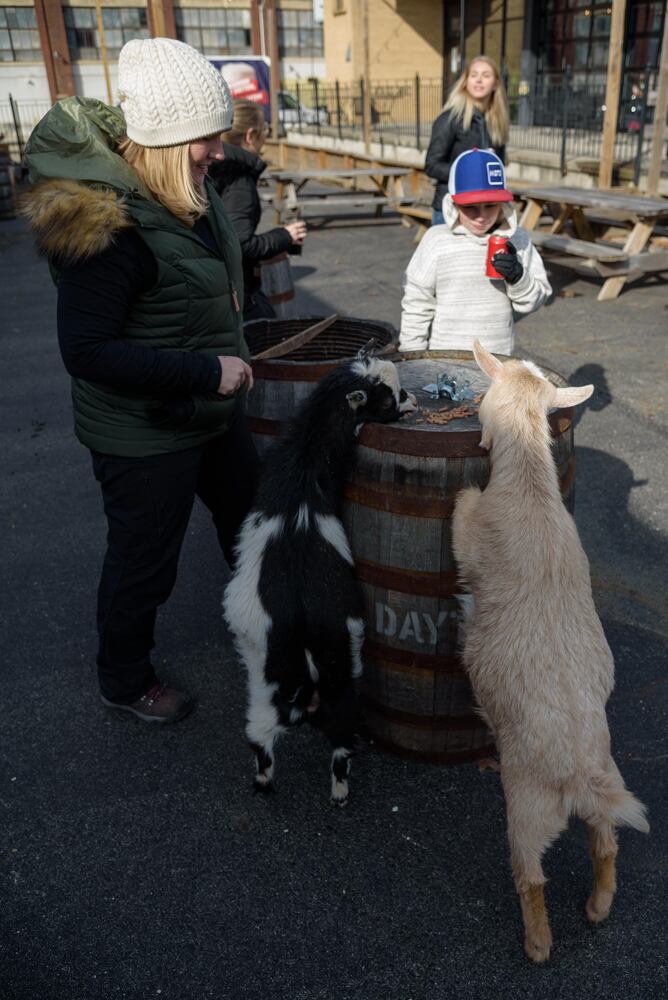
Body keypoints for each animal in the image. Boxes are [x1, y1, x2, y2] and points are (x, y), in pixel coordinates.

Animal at [222, 360, 414, 804]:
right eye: (387, 400)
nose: (412, 401)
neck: (304, 470)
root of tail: (307, 635)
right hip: (331, 677)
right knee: (334, 735)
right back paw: (333, 790)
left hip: (279, 681)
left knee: (266, 736)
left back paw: (276, 784)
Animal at [452, 342, 648, 960]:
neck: (532, 488)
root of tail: (579, 776)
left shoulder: (471, 529)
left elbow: (461, 510)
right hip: (609, 786)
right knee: (606, 845)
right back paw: (598, 907)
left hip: (527, 806)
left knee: (530, 875)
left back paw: (538, 942)